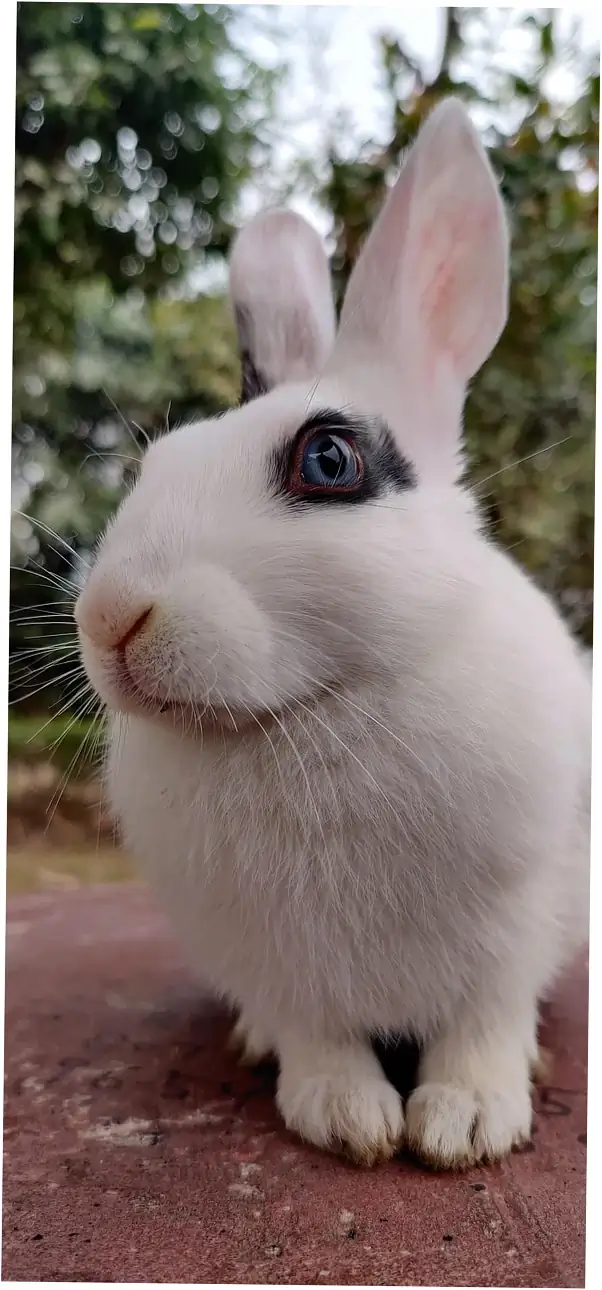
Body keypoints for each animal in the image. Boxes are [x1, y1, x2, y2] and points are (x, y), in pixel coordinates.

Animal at [75, 98, 591, 1170]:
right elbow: (318, 1035)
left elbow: (485, 1021)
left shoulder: (515, 926)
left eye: (328, 460)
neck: (314, 710)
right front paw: (345, 1116)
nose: (109, 619)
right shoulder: (276, 960)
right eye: (159, 460)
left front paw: (467, 1121)